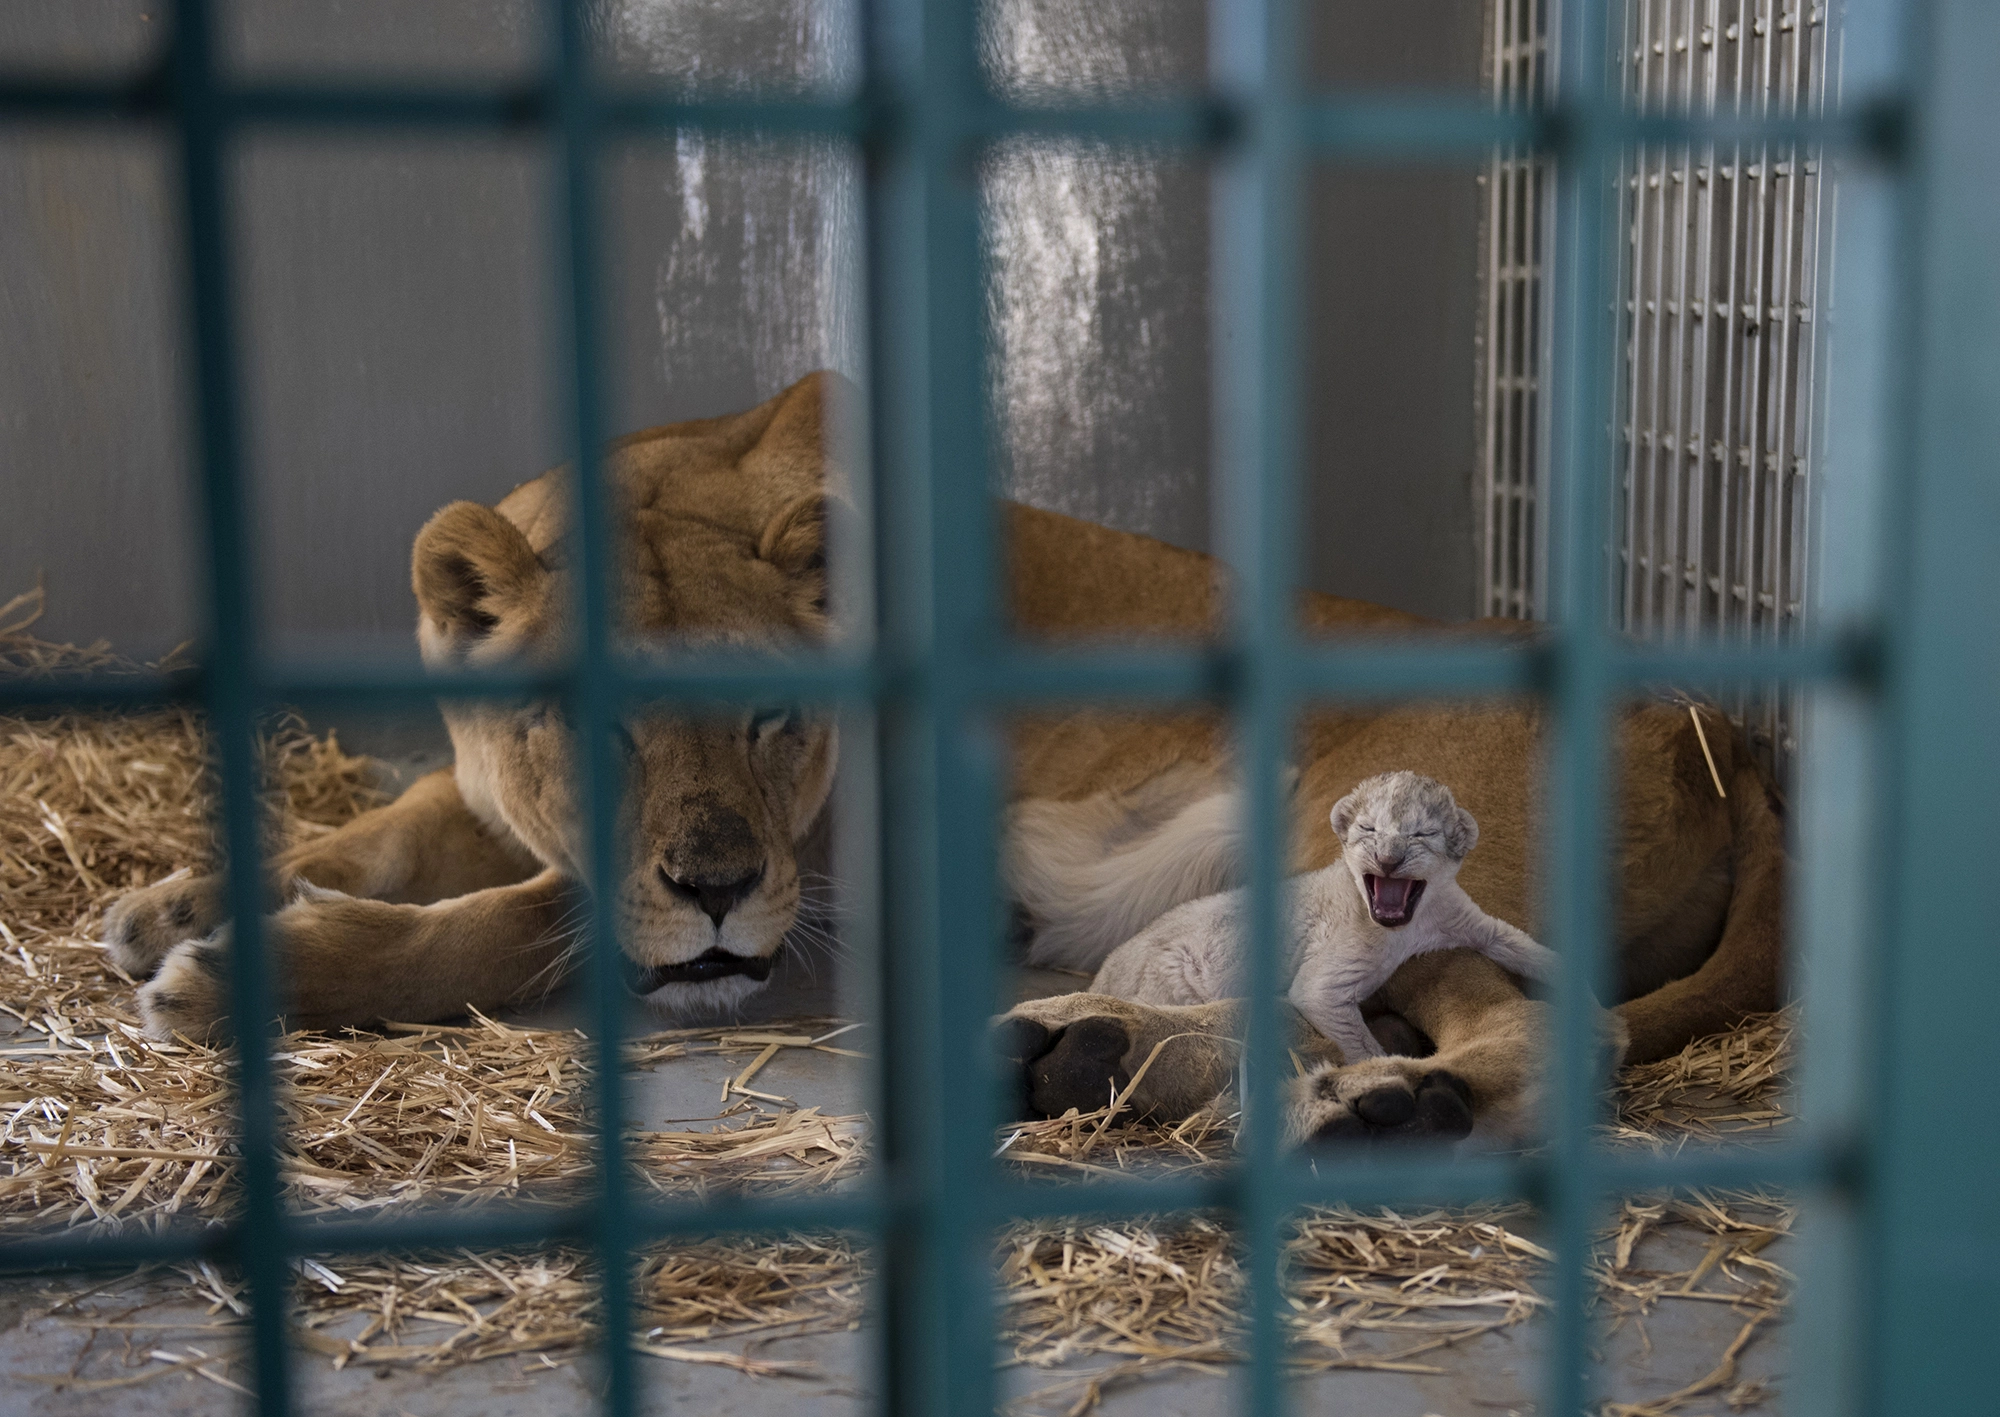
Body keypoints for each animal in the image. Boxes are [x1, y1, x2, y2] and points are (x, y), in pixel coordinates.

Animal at [100, 371, 1785, 1147]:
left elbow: (513, 921)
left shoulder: (824, 882)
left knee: (1548, 1037)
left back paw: (1376, 1112)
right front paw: (173, 900)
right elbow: (388, 838)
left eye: (774, 721)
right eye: (596, 729)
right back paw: (1085, 1055)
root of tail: (1708, 722)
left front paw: (246, 971)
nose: (718, 887)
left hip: (1371, 856)